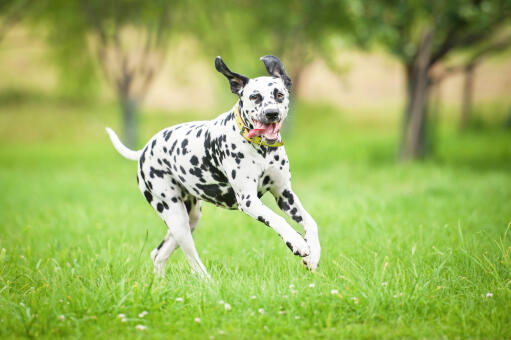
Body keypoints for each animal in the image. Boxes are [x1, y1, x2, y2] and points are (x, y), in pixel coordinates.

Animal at [106, 56, 322, 278]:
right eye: (255, 96)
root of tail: (144, 150)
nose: (272, 113)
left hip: (190, 217)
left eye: (279, 94)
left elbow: (311, 223)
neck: (262, 150)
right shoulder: (249, 201)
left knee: (159, 254)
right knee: (193, 259)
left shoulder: (285, 195)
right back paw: (208, 281)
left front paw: (313, 254)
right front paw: (296, 241)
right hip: (176, 217)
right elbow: (278, 220)